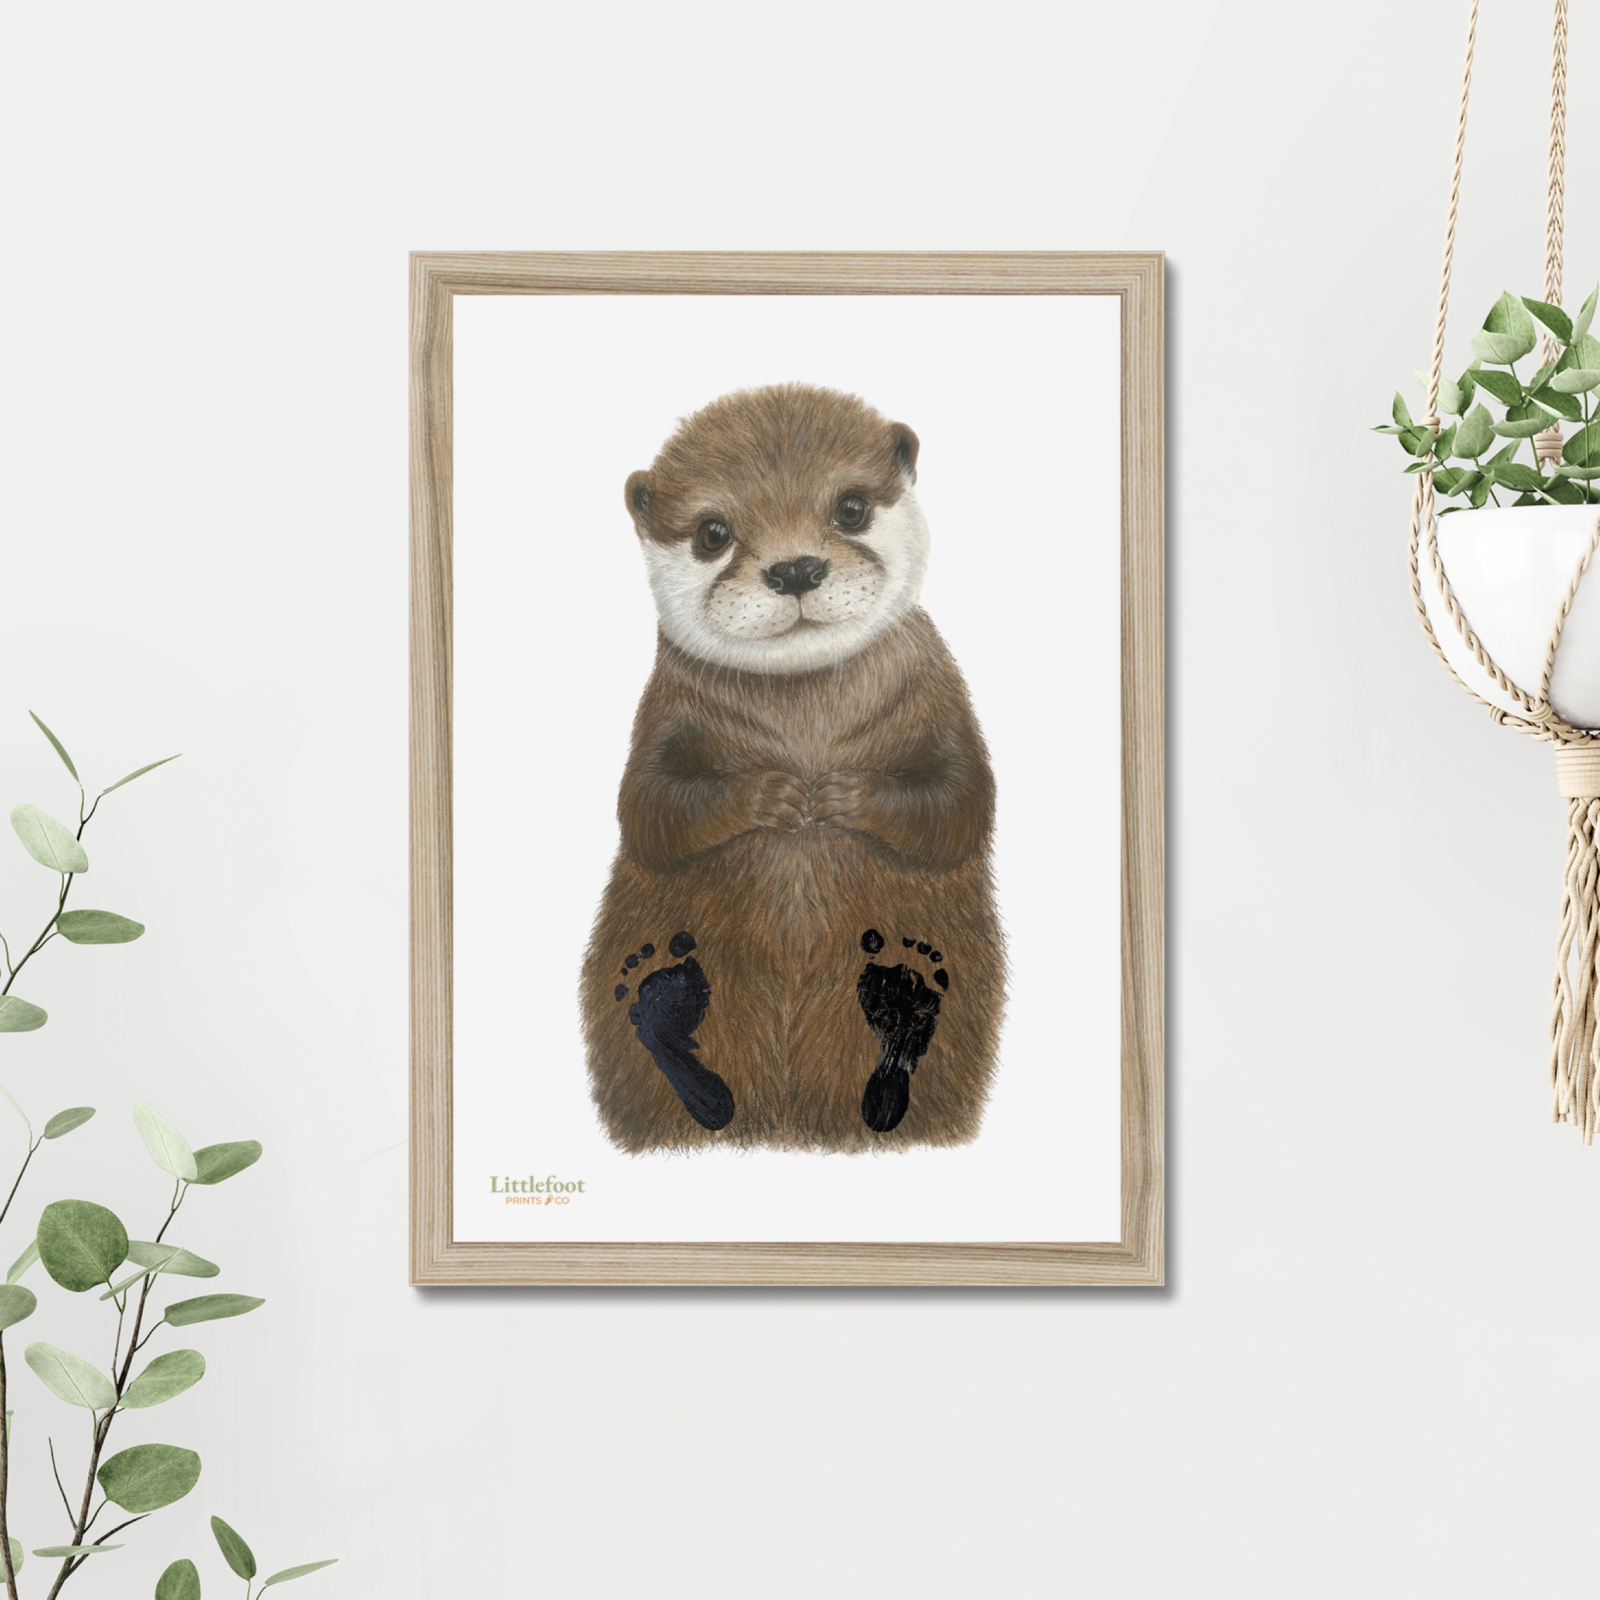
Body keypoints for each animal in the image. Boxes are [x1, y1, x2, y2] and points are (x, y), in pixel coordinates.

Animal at [580, 382, 1004, 1154]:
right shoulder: (661, 715)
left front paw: (838, 795)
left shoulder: (942, 694)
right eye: (712, 532)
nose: (795, 568)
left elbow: (962, 801)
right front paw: (773, 794)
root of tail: (788, 1125)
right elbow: (648, 808)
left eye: (852, 507)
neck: (804, 718)